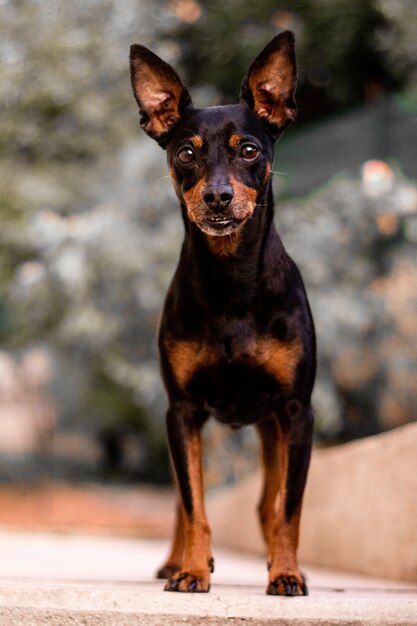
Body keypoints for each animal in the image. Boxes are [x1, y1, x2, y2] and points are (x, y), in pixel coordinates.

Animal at [130, 30, 316, 596]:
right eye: (186, 152)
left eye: (249, 150)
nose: (217, 196)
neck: (231, 280)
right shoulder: (183, 412)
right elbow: (195, 506)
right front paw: (192, 569)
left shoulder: (297, 412)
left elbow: (289, 508)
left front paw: (286, 573)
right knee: (183, 500)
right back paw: (177, 562)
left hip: (273, 430)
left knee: (267, 503)